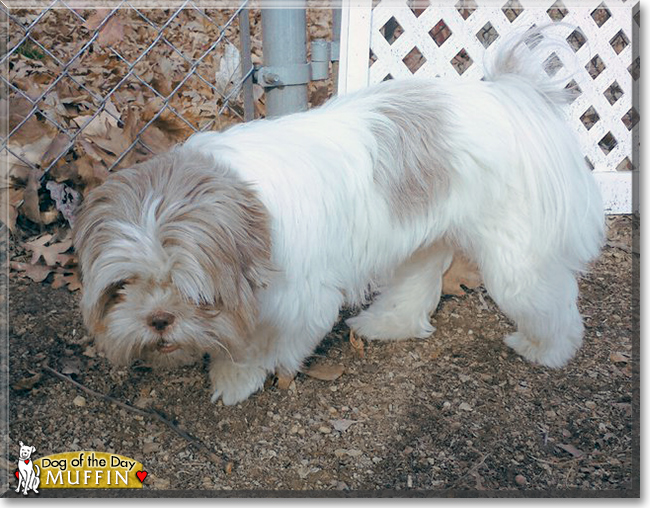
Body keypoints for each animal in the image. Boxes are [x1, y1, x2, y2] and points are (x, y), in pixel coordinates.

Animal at [74, 30, 604, 404]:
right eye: (123, 286)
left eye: (194, 292)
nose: (158, 319)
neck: (246, 208)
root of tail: (510, 96)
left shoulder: (299, 300)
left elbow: (260, 346)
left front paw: (235, 378)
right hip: (422, 235)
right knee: (417, 284)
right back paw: (385, 325)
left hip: (515, 261)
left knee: (553, 303)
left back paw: (547, 350)